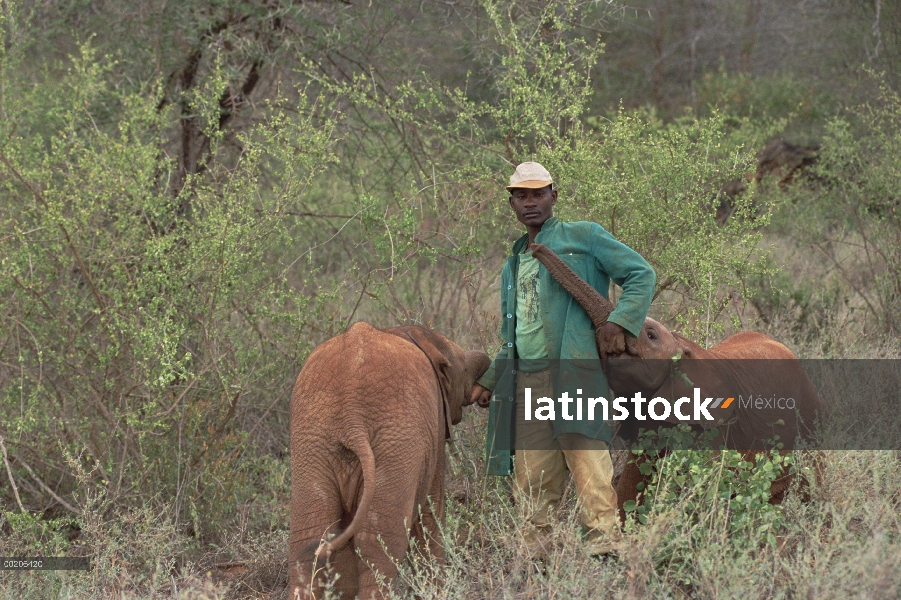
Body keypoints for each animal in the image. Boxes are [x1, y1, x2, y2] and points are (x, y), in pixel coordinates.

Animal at [290, 324, 488, 600]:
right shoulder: (435, 430)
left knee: (309, 539)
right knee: (378, 543)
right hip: (396, 444)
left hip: (312, 445)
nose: (485, 396)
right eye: (458, 369)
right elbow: (430, 513)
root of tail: (350, 418)